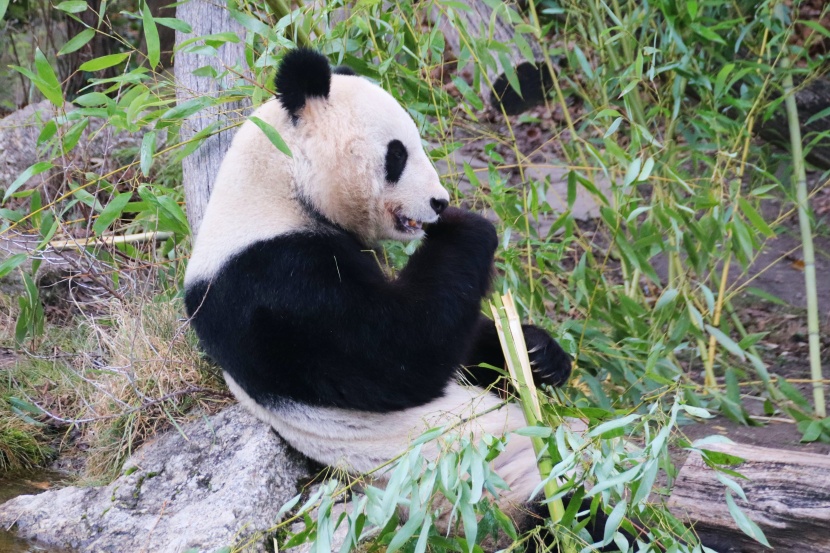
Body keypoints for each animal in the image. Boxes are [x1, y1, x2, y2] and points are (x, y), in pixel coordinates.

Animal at [187, 49, 592, 548]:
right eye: (397, 153)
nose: (438, 202)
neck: (278, 188)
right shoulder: (273, 284)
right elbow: (400, 353)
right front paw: (466, 224)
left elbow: (458, 345)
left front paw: (537, 354)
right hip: (499, 488)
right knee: (583, 513)